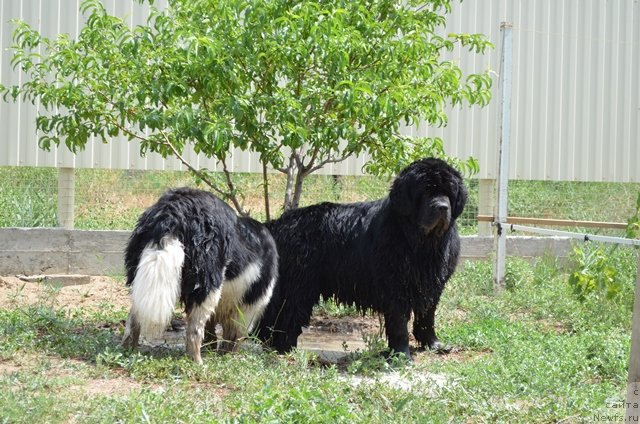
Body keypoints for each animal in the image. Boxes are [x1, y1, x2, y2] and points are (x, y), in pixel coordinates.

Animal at [122, 187, 278, 362]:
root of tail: (173, 212)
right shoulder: (249, 305)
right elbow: (234, 335)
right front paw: (226, 355)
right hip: (208, 284)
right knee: (194, 331)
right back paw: (197, 362)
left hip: (140, 274)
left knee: (133, 318)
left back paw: (128, 350)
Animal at [254, 158, 464, 358]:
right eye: (425, 191)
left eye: (449, 192)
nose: (442, 207)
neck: (420, 243)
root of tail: (278, 223)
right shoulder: (395, 284)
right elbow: (399, 323)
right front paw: (401, 354)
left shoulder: (432, 285)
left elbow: (427, 317)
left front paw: (433, 344)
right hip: (298, 286)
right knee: (287, 314)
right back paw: (285, 349)